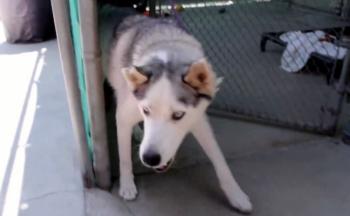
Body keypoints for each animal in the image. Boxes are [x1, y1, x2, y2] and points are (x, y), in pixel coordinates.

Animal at [106, 15, 252, 213]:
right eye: (146, 110)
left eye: (178, 115)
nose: (150, 158)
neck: (169, 53)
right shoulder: (123, 116)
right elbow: (124, 157)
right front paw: (127, 185)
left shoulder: (198, 120)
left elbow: (219, 158)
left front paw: (236, 195)